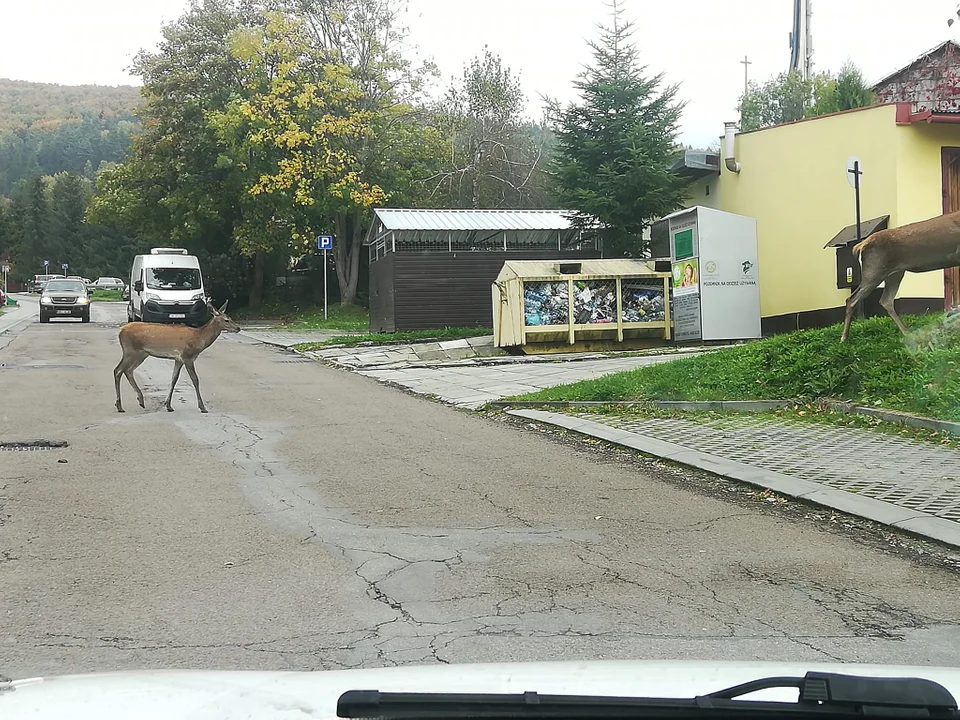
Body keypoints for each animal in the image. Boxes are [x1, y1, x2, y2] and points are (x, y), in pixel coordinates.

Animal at [114, 300, 242, 414]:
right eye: (226, 320)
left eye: (230, 318)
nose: (238, 328)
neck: (199, 339)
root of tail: (120, 331)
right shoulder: (187, 356)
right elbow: (195, 379)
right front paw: (202, 407)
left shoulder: (178, 359)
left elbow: (174, 379)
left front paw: (169, 406)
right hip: (130, 351)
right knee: (118, 370)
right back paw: (120, 406)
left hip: (141, 354)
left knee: (128, 371)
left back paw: (140, 400)